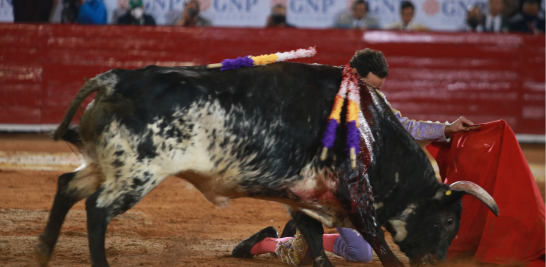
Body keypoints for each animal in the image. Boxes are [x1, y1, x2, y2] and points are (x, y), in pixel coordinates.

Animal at [35, 62, 498, 267]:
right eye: (447, 221)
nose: (436, 260)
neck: (371, 130)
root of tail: (115, 78)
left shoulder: (305, 195)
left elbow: (314, 243)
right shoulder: (355, 193)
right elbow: (379, 244)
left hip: (106, 164)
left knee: (66, 185)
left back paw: (42, 250)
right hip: (137, 172)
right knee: (96, 209)